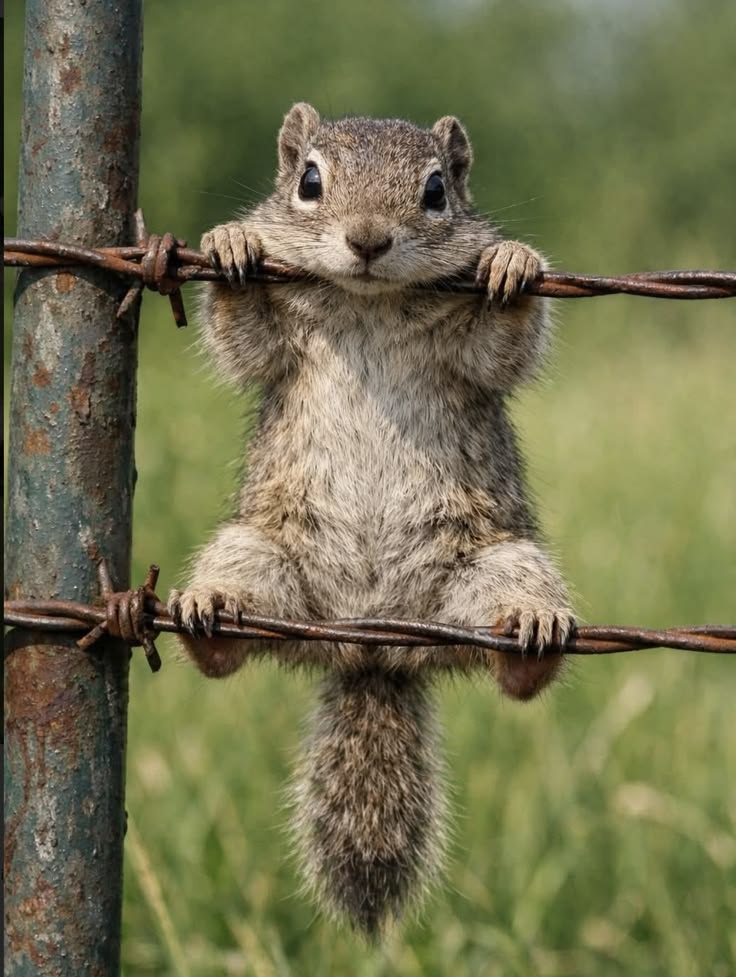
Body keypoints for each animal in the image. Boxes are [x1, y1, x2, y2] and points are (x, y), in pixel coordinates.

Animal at [169, 102, 574, 937]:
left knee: (519, 669)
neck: (369, 301)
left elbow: (503, 346)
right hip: (254, 552)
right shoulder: (279, 339)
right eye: (308, 181)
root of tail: (371, 643)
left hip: (500, 564)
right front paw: (232, 243)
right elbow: (243, 340)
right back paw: (211, 618)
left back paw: (531, 635)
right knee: (228, 639)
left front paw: (512, 263)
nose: (367, 240)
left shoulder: (468, 344)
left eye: (436, 191)